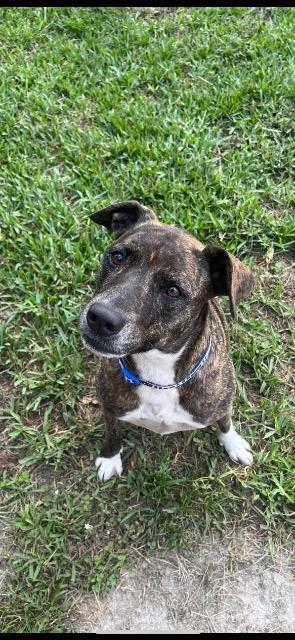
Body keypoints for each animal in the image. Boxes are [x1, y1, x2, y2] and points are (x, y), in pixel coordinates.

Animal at [78, 200, 254, 480]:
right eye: (117, 257)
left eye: (173, 290)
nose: (100, 317)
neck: (158, 369)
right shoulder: (109, 406)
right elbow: (113, 432)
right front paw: (109, 457)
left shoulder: (221, 404)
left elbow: (225, 422)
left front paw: (233, 443)